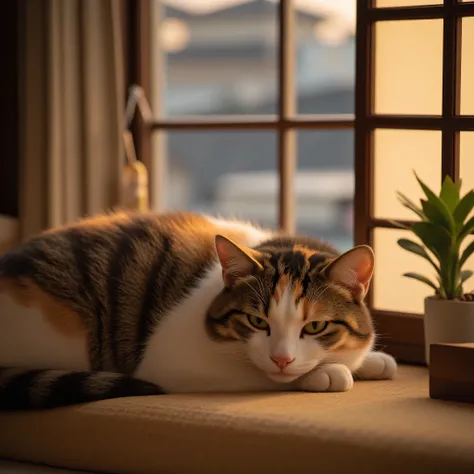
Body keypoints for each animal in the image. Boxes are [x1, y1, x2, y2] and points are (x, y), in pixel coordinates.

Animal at [0, 209, 396, 410]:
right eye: (256, 321)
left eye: (314, 327)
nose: (281, 359)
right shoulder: (169, 361)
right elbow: (258, 373)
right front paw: (326, 374)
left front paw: (373, 360)